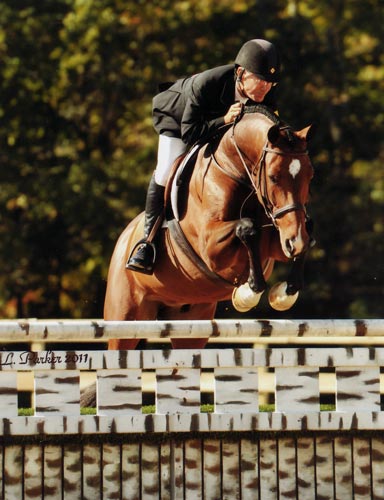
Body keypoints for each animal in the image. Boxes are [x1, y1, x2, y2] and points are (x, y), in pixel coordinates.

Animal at [103, 105, 314, 348]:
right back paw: (141, 255)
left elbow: (308, 231)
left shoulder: (277, 237)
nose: (295, 241)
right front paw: (247, 292)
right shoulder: (212, 248)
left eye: (310, 175)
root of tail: (123, 238)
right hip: (124, 319)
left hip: (191, 323)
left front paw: (284, 294)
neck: (235, 170)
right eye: (273, 177)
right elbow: (247, 228)